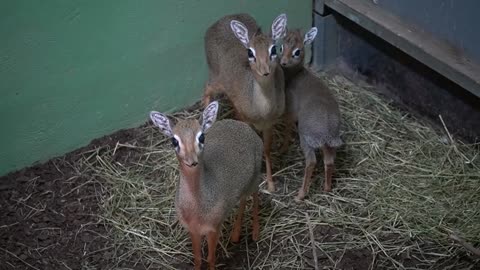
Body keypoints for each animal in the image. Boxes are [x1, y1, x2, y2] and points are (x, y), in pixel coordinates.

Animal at [150, 102, 262, 270]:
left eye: (201, 136)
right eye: (174, 141)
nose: (191, 161)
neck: (197, 209)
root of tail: (243, 126)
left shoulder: (213, 228)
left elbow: (210, 258)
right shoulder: (193, 230)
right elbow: (197, 258)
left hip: (255, 179)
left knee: (255, 194)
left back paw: (255, 234)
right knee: (242, 200)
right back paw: (235, 236)